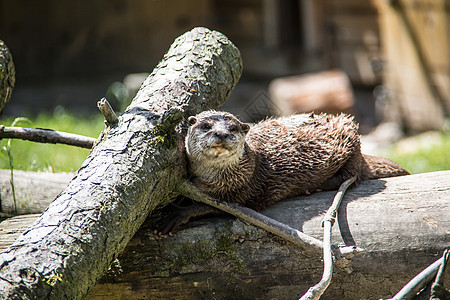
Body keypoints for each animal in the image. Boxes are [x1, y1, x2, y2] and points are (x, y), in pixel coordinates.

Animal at [156, 110, 412, 234]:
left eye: (232, 128)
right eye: (206, 126)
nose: (221, 134)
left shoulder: (241, 189)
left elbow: (211, 206)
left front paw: (177, 214)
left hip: (349, 137)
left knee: (353, 173)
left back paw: (319, 186)